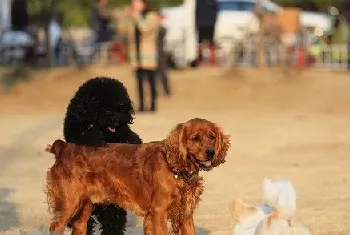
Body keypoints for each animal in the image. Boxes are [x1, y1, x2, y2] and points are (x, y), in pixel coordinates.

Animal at [63, 77, 141, 235]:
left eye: (120, 107)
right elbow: (87, 135)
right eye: (103, 108)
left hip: (110, 205)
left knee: (113, 222)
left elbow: (128, 138)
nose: (114, 119)